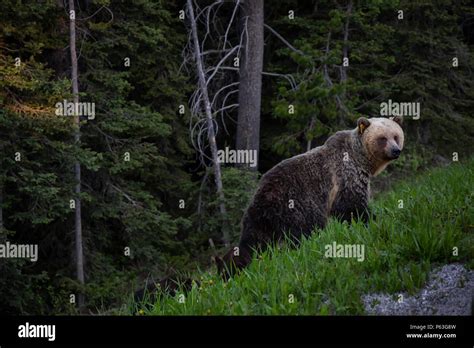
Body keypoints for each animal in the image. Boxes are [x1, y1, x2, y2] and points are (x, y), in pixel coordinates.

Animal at [216, 115, 404, 278]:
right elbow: (352, 206)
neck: (361, 159)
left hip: (262, 218)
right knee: (304, 231)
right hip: (296, 205)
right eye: (382, 138)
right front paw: (371, 219)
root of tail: (261, 198)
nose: (396, 150)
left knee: (255, 241)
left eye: (396, 136)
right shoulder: (346, 177)